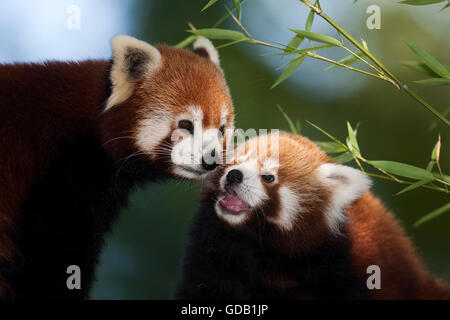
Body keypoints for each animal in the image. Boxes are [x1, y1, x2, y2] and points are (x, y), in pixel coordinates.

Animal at [177, 132, 450, 300]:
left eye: (268, 177)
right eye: (235, 163)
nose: (234, 175)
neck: (259, 244)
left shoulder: (342, 268)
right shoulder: (214, 255)